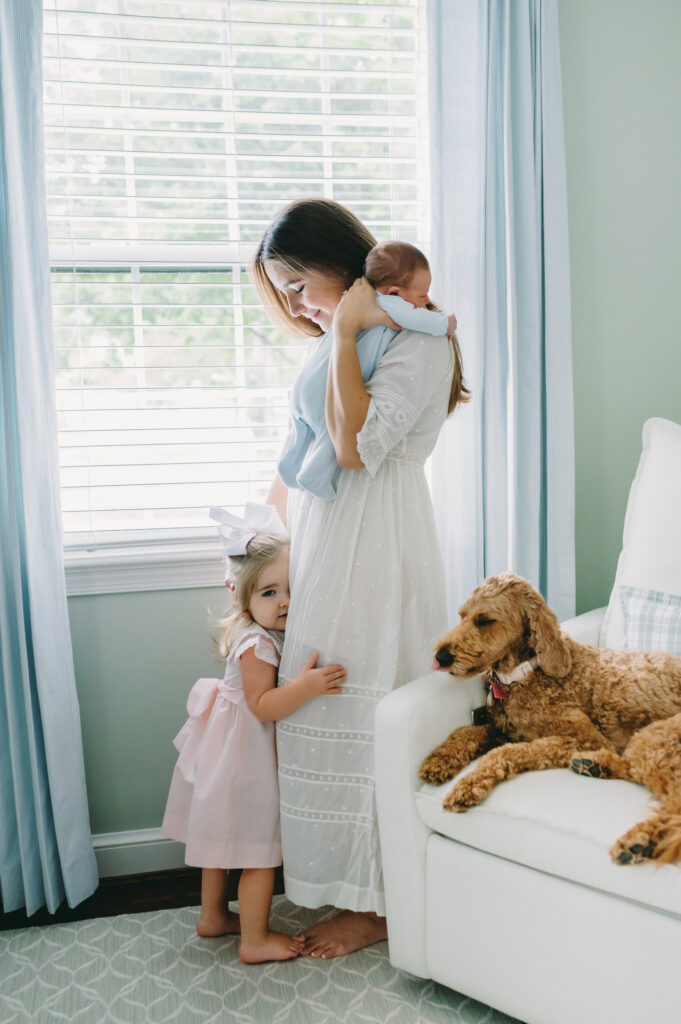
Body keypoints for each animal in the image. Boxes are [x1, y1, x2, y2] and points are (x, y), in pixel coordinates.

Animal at [417, 577, 679, 864]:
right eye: (462, 616)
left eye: (485, 620)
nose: (440, 657)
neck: (524, 674)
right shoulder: (506, 728)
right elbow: (466, 732)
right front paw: (439, 759)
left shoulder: (585, 737)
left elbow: (505, 753)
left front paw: (468, 784)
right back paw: (594, 765)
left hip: (654, 738)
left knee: (674, 805)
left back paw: (640, 841)